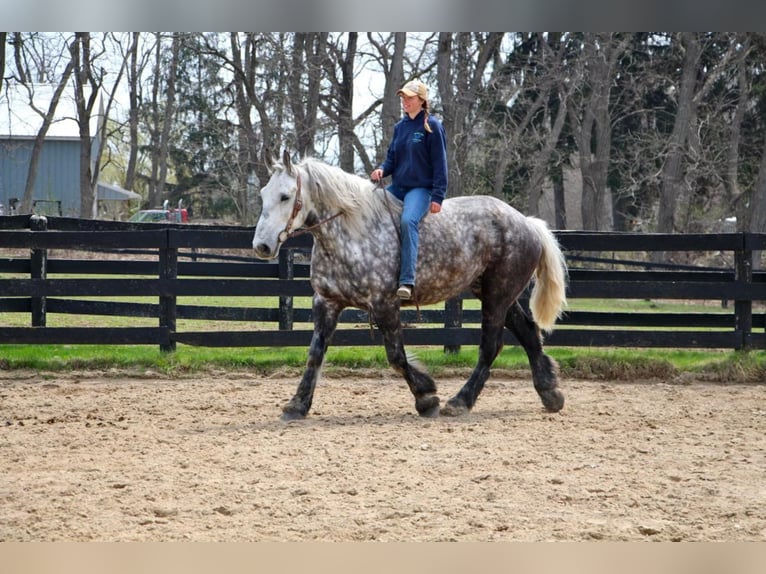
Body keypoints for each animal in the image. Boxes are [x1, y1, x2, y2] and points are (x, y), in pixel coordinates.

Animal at [254, 152, 568, 424]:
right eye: (263, 194)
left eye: (285, 196)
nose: (262, 246)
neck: (352, 234)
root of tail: (527, 223)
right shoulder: (326, 303)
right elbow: (314, 355)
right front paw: (297, 405)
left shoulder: (385, 305)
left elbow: (396, 356)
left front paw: (426, 397)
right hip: (497, 294)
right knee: (528, 333)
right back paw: (550, 392)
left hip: (498, 296)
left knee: (491, 347)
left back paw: (460, 401)